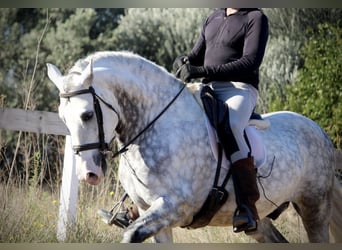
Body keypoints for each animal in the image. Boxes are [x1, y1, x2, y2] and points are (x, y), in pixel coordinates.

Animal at [47, 50, 342, 242]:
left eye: (87, 115)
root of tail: (320, 132)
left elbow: (130, 235)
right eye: (62, 117)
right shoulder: (152, 214)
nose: (88, 174)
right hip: (262, 221)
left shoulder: (175, 207)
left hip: (313, 207)